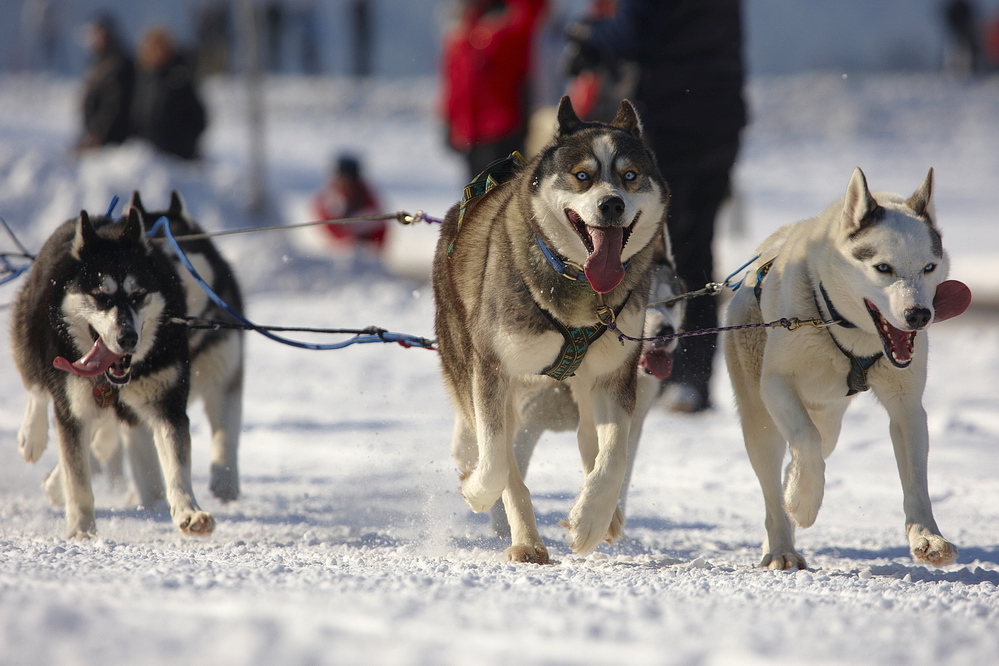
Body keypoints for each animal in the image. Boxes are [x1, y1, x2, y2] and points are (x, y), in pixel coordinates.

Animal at [12, 208, 217, 536]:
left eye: (138, 295)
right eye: (101, 296)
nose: (127, 338)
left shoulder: (167, 405)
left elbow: (176, 462)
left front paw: (189, 511)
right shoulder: (71, 408)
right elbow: (78, 479)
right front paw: (82, 529)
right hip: (33, 340)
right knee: (36, 388)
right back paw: (33, 436)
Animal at [434, 97, 668, 560]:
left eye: (630, 176)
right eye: (583, 176)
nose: (612, 204)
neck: (579, 284)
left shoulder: (615, 375)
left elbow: (613, 457)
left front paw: (591, 519)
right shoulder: (492, 369)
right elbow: (497, 462)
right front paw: (477, 491)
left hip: (586, 380)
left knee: (587, 437)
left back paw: (604, 515)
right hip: (464, 357)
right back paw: (526, 541)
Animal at [728, 169, 968, 568]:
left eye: (929, 267)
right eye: (883, 267)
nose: (919, 315)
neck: (845, 331)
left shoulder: (907, 406)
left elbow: (916, 477)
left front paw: (927, 536)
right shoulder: (776, 385)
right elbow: (804, 440)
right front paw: (804, 501)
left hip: (830, 420)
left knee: (809, 448)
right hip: (761, 420)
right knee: (775, 483)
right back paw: (781, 546)